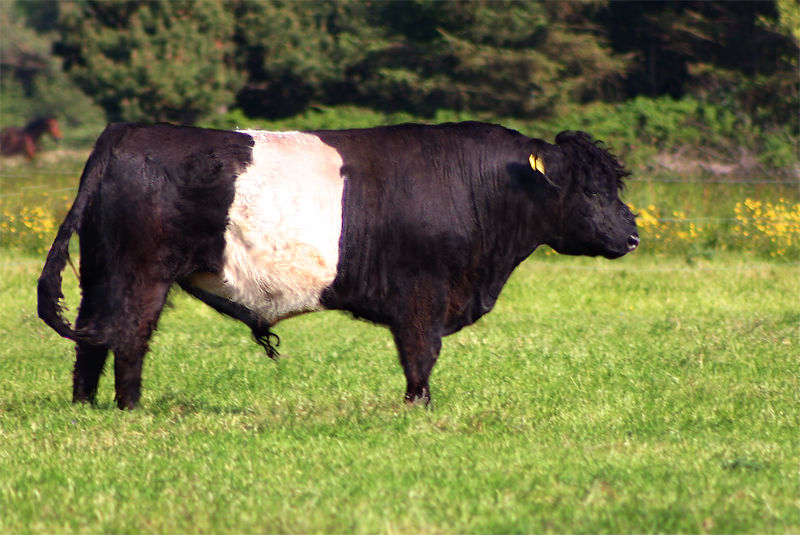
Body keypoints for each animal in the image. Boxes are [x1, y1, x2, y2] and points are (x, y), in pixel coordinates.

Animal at [37, 121, 640, 408]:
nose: (633, 235)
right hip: (142, 272)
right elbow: (420, 355)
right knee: (129, 336)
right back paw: (131, 408)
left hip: (102, 271)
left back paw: (86, 406)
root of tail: (127, 131)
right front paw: (418, 409)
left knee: (92, 340)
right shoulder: (422, 293)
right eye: (591, 188)